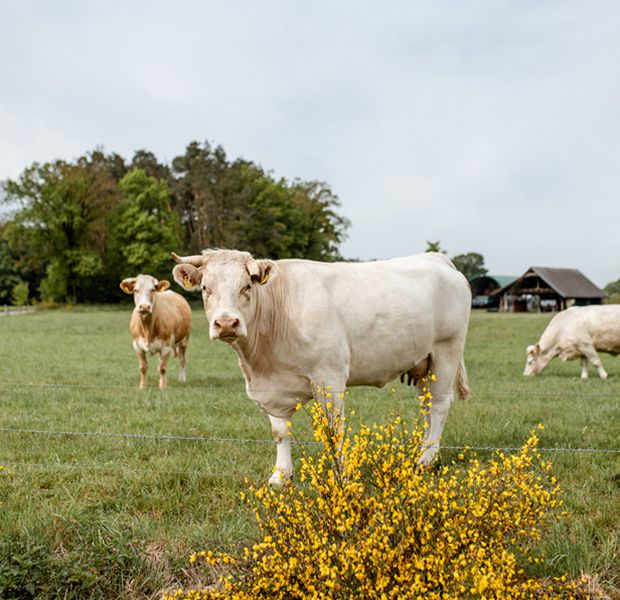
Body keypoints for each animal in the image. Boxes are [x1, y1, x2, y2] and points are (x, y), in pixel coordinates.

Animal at [170, 248, 470, 482]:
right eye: (206, 289)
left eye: (247, 286)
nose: (226, 323)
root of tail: (436, 258)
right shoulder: (271, 387)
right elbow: (280, 432)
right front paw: (281, 476)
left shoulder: (329, 377)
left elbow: (334, 430)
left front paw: (341, 475)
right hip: (423, 363)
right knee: (427, 406)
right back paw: (422, 453)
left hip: (446, 350)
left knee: (440, 405)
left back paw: (426, 460)